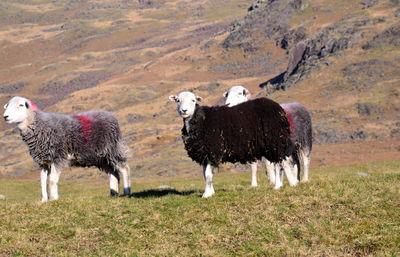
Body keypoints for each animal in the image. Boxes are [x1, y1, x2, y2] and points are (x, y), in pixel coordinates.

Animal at [3, 95, 131, 201]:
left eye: (20, 105)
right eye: (7, 105)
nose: (5, 116)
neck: (40, 125)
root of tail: (111, 115)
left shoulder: (57, 157)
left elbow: (52, 180)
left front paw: (54, 199)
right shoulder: (44, 161)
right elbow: (43, 181)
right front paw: (44, 200)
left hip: (113, 149)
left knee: (124, 168)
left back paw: (127, 192)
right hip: (101, 157)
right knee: (114, 173)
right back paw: (113, 194)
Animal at [168, 91, 296, 197]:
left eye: (193, 100)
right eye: (178, 100)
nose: (184, 111)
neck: (200, 120)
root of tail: (277, 107)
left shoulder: (213, 151)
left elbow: (208, 174)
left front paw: (207, 194)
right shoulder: (204, 154)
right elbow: (206, 175)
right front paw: (211, 191)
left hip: (274, 141)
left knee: (278, 164)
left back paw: (277, 186)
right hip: (271, 144)